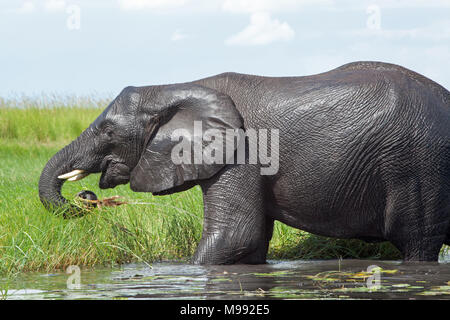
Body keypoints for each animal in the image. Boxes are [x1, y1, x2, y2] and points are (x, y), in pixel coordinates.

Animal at [39, 61, 450, 264]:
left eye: (108, 130)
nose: (87, 198)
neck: (180, 87)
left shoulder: (244, 153)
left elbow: (236, 235)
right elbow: (251, 243)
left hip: (419, 168)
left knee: (418, 245)